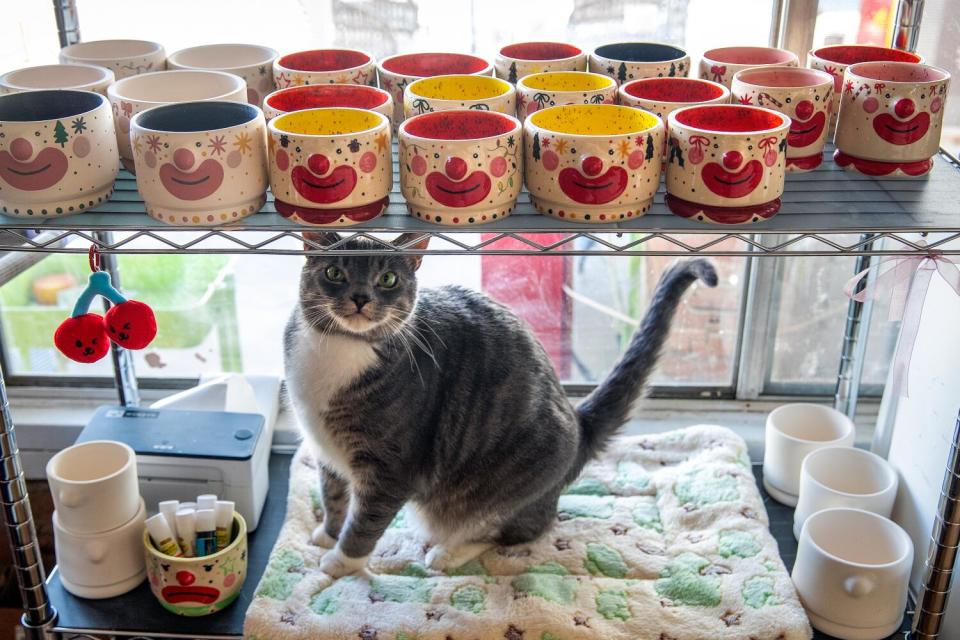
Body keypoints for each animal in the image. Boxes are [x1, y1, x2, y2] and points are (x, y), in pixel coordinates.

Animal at [282, 232, 716, 576]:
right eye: (334, 273)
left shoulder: (391, 466)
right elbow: (333, 496)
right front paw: (327, 535)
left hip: (509, 484)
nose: (360, 298)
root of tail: (580, 425)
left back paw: (448, 553)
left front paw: (341, 562)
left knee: (513, 530)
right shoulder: (324, 449)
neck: (340, 348)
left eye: (387, 279)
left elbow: (366, 520)